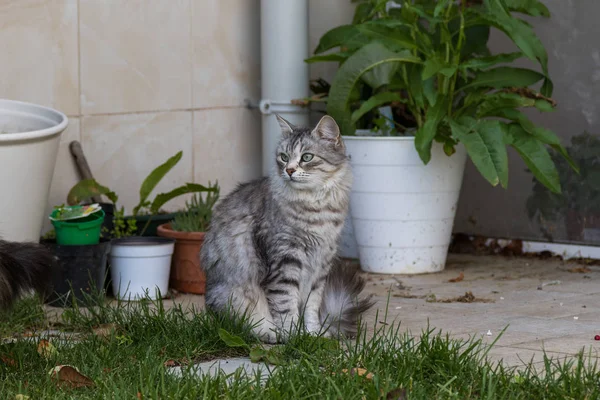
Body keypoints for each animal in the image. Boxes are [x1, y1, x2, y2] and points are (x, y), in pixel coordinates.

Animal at [200, 114, 370, 342]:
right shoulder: (285, 261)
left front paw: (313, 335)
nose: (289, 170)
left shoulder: (320, 266)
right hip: (233, 297)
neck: (317, 208)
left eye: (307, 157)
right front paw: (294, 338)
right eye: (283, 156)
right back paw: (269, 334)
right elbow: (285, 306)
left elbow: (311, 307)